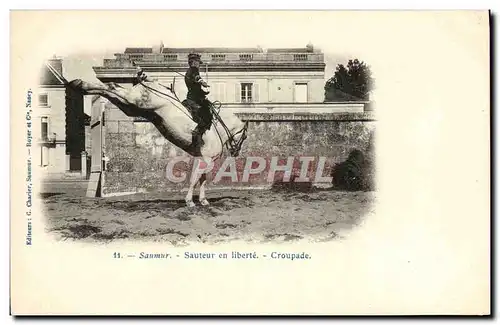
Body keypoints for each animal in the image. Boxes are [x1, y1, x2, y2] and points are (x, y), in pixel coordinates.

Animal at [67, 76, 249, 205]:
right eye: (245, 136)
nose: (236, 152)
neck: (216, 128)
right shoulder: (205, 160)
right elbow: (195, 179)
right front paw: (189, 201)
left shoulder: (204, 159)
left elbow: (202, 180)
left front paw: (203, 201)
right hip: (135, 102)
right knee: (111, 87)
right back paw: (80, 84)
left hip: (130, 107)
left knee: (112, 89)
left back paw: (79, 85)